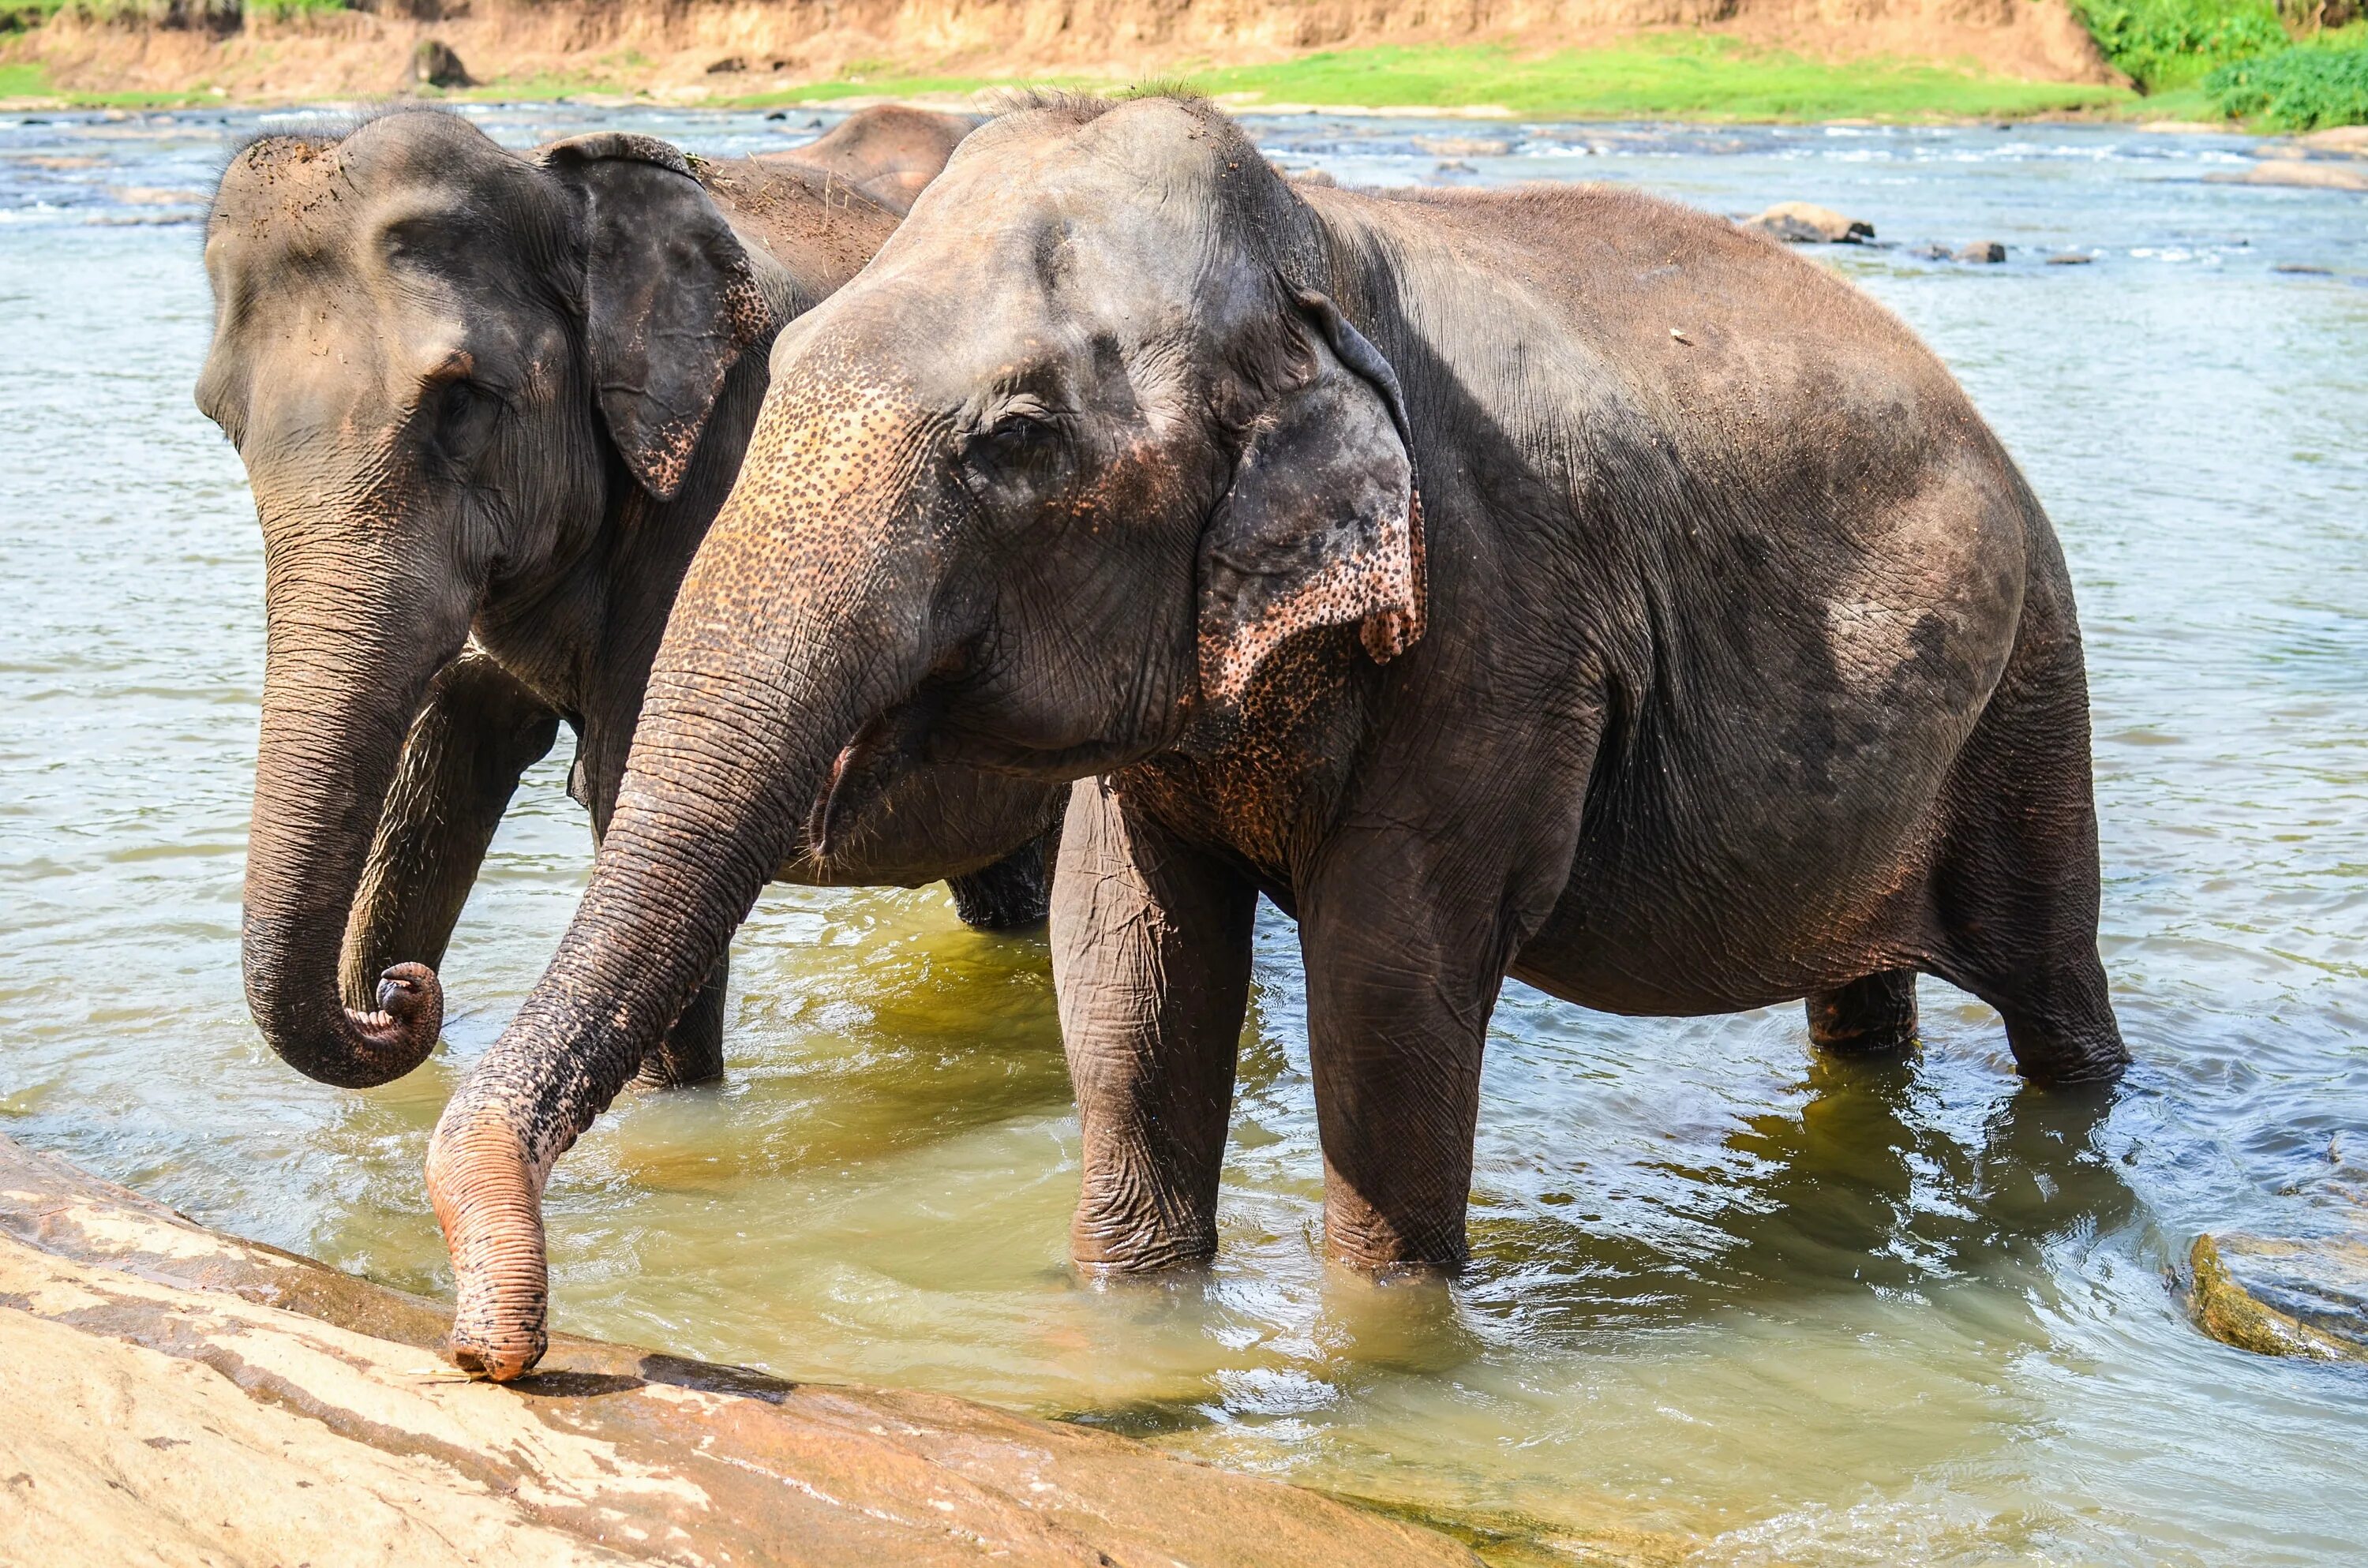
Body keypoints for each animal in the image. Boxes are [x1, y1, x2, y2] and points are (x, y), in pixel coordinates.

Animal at [194, 104, 1066, 1098]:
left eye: (461, 402)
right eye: (223, 422)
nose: (400, 991)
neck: (549, 183)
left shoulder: (716, 489)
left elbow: (627, 795)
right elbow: (444, 762)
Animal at [412, 92, 2131, 1383]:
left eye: (1014, 443)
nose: (501, 1352)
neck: (1318, 252)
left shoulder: (1499, 622)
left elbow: (1390, 982)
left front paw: (1386, 1347)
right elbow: (1129, 959)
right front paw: (1131, 1316)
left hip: (2033, 690)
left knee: (2054, 986)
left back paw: (2079, 1124)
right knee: (1864, 1004)